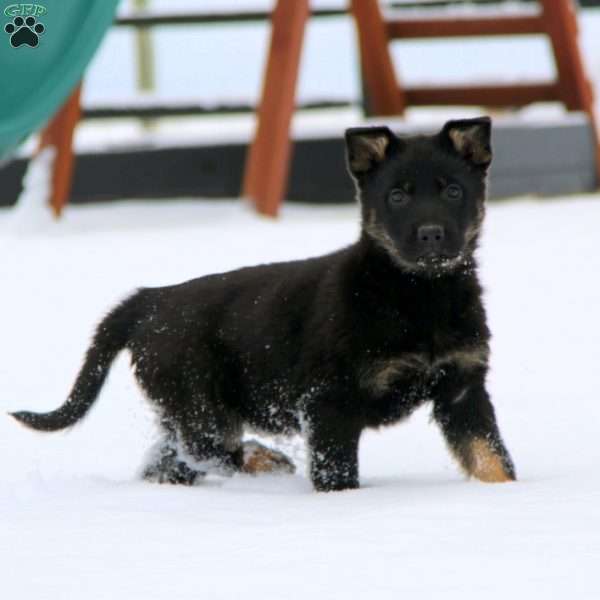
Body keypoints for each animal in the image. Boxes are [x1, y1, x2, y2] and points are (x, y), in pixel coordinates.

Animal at [9, 118, 516, 492]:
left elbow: (491, 455)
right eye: (396, 195)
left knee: (169, 461)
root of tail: (151, 298)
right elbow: (337, 474)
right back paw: (263, 457)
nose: (431, 235)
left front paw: (506, 498)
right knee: (207, 451)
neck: (419, 294)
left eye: (453, 191)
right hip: (200, 402)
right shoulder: (327, 403)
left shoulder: (463, 388)